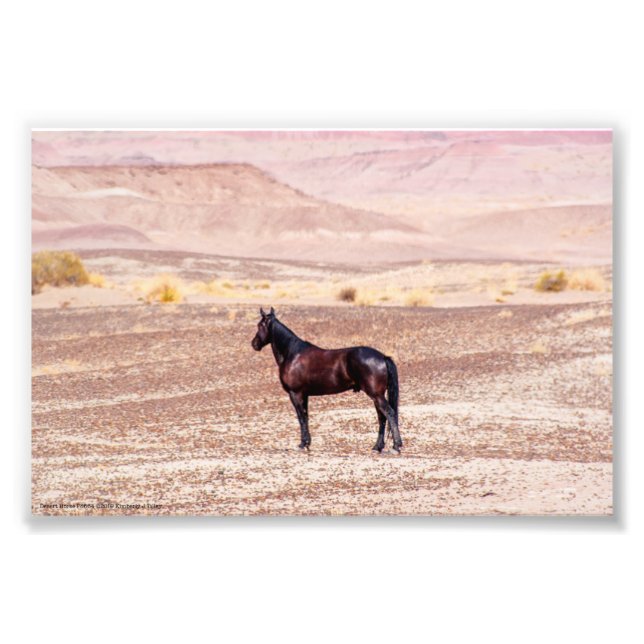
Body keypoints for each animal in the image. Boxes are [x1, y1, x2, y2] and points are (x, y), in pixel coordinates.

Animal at [251, 307, 402, 453]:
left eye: (259, 325)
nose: (254, 344)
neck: (292, 354)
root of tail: (383, 357)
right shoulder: (304, 395)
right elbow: (306, 416)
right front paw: (307, 444)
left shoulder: (295, 393)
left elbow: (301, 418)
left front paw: (302, 445)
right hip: (377, 396)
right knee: (382, 417)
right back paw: (377, 447)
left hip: (376, 395)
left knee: (389, 413)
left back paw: (396, 447)